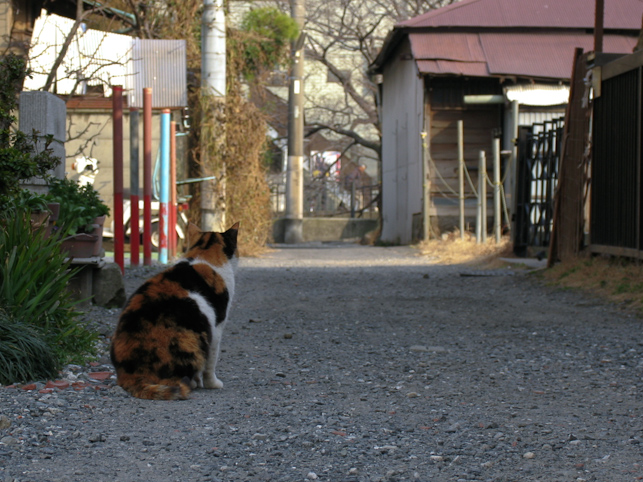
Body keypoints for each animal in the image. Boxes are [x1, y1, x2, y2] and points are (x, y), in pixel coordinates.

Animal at [109, 222, 240, 400]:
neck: (205, 252)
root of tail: (130, 374)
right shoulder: (217, 328)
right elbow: (211, 363)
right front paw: (213, 384)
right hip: (193, 337)